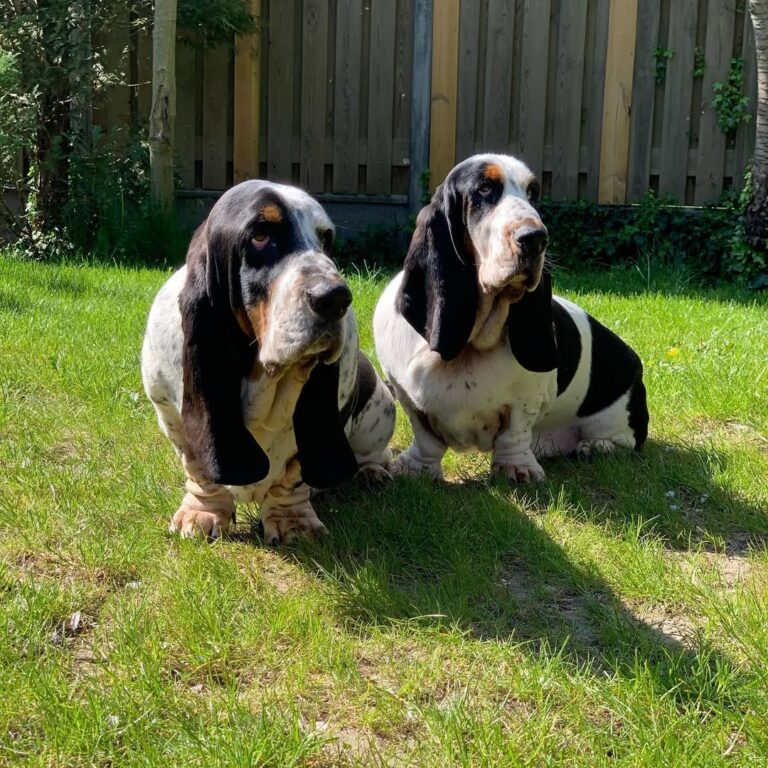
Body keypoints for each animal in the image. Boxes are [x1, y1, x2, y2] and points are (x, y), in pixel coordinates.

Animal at [142, 181, 396, 544]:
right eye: (260, 236)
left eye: (326, 239)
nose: (335, 298)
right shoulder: (172, 416)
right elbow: (199, 467)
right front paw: (202, 512)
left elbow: (293, 474)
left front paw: (293, 522)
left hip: (381, 409)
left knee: (377, 453)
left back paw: (372, 472)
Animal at [372, 153, 648, 484]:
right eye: (484, 189)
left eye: (532, 193)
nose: (535, 238)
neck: (471, 343)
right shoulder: (407, 397)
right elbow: (426, 437)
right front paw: (416, 468)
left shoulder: (526, 400)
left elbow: (513, 434)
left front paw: (517, 468)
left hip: (616, 413)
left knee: (627, 438)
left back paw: (596, 446)